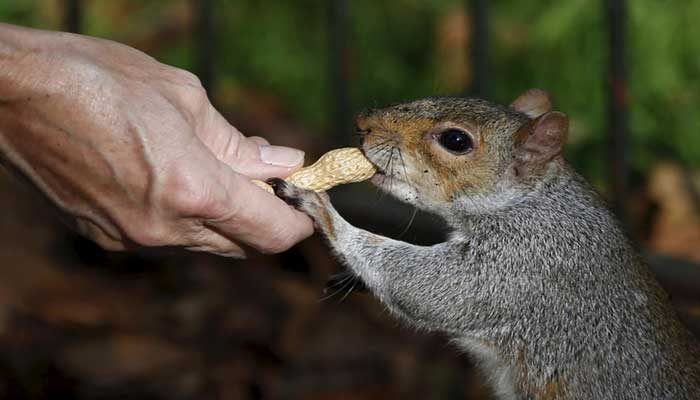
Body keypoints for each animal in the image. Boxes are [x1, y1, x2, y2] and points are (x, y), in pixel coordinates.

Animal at [266, 89, 696, 398]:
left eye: (456, 140)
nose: (363, 123)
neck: (530, 201)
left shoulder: (527, 260)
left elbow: (430, 285)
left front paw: (319, 207)